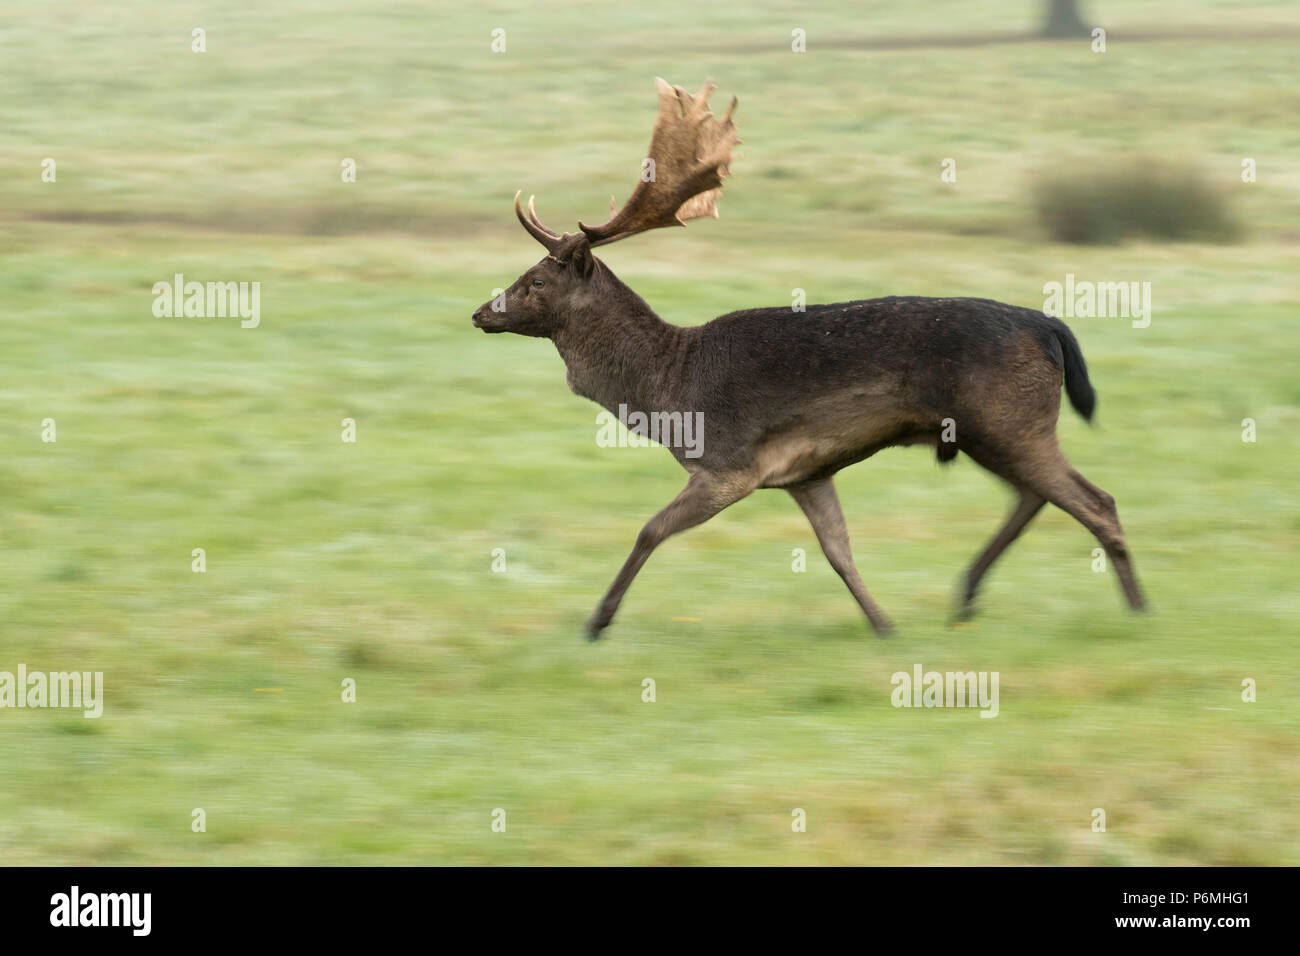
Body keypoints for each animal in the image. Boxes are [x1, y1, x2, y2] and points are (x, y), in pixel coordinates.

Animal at [473, 76, 1144, 642]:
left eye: (536, 280)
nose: (481, 312)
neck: (668, 387)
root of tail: (1049, 325)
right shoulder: (807, 473)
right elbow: (838, 550)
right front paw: (884, 625)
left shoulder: (728, 464)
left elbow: (649, 529)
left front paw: (597, 621)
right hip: (995, 430)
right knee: (1036, 497)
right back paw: (967, 594)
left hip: (1010, 420)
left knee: (1096, 501)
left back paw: (1139, 610)